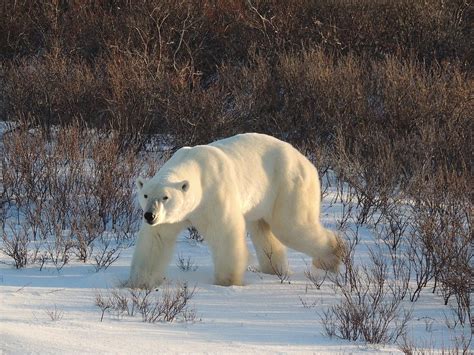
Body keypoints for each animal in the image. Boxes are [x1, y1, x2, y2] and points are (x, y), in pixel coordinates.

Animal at [130, 134, 344, 290]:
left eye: (165, 197)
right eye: (146, 195)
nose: (149, 216)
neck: (196, 168)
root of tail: (307, 161)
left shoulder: (214, 193)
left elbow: (225, 233)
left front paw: (227, 281)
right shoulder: (170, 218)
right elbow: (156, 239)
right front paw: (140, 282)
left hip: (288, 184)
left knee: (291, 227)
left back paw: (331, 257)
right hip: (262, 200)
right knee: (261, 229)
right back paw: (274, 269)